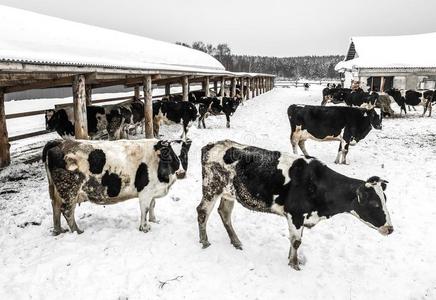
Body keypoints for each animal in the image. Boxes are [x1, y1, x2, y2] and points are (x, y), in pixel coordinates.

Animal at [43, 138, 192, 234]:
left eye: (184, 154)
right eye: (170, 155)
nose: (181, 173)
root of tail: (61, 142)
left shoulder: (152, 191)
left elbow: (152, 205)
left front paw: (154, 220)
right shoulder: (145, 192)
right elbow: (145, 209)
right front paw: (145, 228)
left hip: (56, 191)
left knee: (55, 207)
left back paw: (58, 230)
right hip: (69, 190)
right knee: (67, 211)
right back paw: (77, 231)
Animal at [198, 140, 396, 270]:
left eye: (385, 199)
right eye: (374, 203)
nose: (390, 228)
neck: (318, 184)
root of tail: (212, 145)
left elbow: (295, 240)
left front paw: (293, 260)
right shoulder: (296, 214)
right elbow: (296, 241)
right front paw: (294, 265)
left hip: (229, 193)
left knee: (224, 213)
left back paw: (236, 241)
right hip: (211, 188)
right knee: (202, 212)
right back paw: (205, 241)